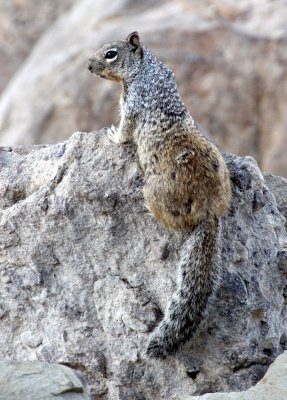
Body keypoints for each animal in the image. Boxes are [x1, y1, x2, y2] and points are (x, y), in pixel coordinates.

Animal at [88, 30, 232, 356]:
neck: (147, 69)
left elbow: (125, 131)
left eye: (111, 54)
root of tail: (209, 211)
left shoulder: (131, 106)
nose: (89, 66)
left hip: (153, 193)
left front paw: (112, 136)